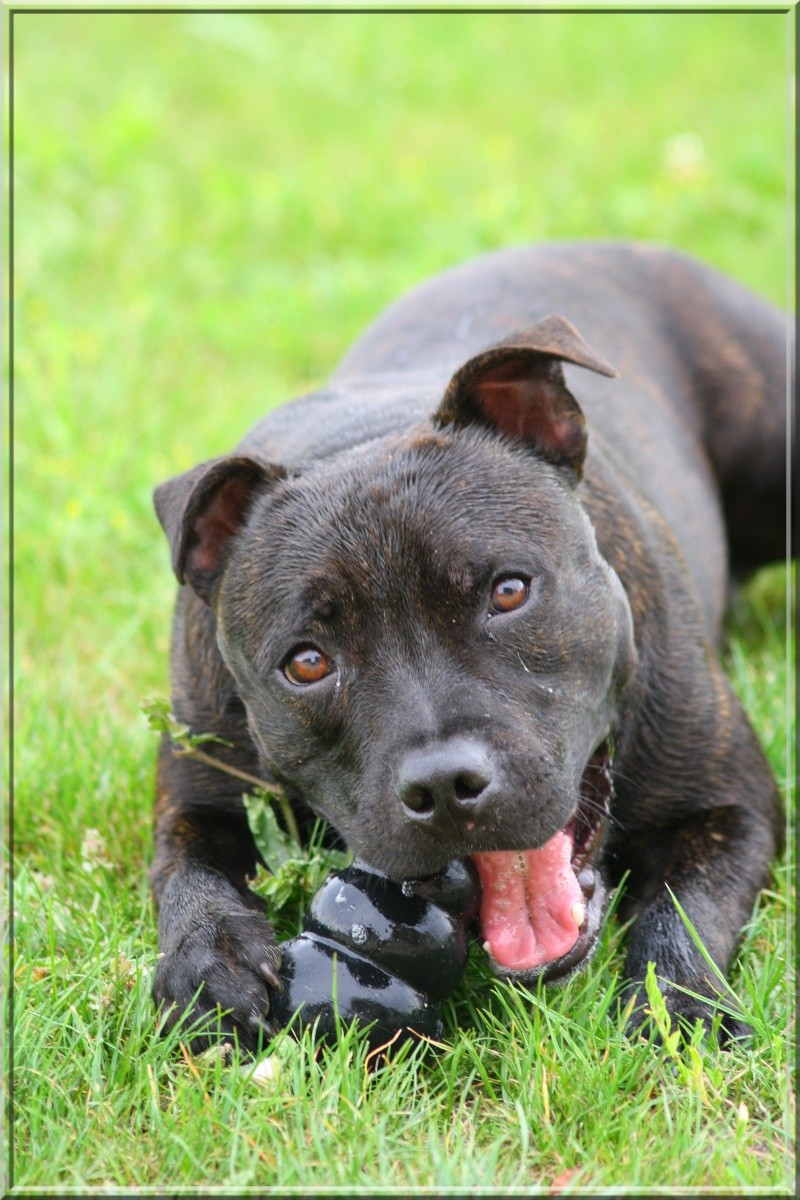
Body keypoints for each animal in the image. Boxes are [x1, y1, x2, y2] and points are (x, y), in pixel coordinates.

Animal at [151, 243, 786, 1051]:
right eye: (307, 663)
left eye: (508, 591)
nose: (445, 783)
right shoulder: (196, 789)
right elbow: (186, 867)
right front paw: (209, 961)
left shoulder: (727, 803)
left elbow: (684, 910)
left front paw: (677, 1010)